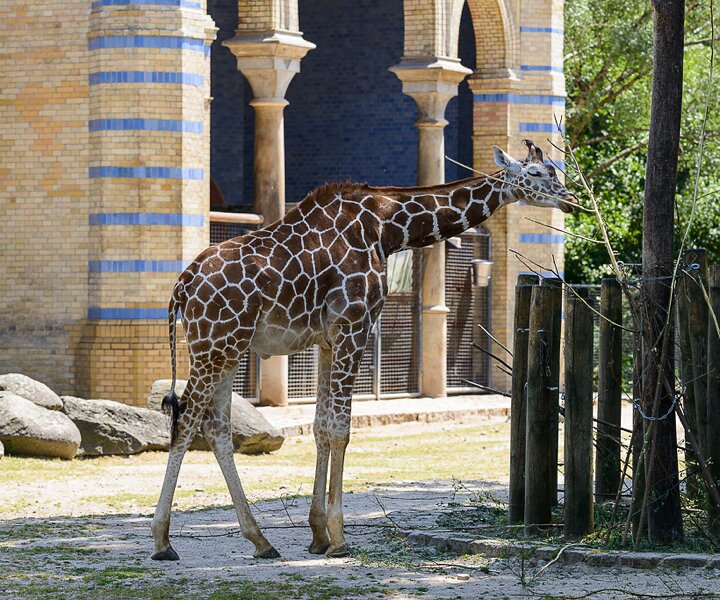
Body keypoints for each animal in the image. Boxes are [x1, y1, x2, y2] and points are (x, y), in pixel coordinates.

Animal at [151, 140, 577, 561]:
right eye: (536, 173)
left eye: (557, 170)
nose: (570, 199)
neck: (386, 230)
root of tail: (182, 286)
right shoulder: (354, 327)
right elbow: (341, 429)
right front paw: (339, 538)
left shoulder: (327, 340)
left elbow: (322, 428)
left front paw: (318, 534)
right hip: (215, 345)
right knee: (186, 420)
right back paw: (162, 542)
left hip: (229, 348)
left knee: (217, 427)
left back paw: (261, 541)